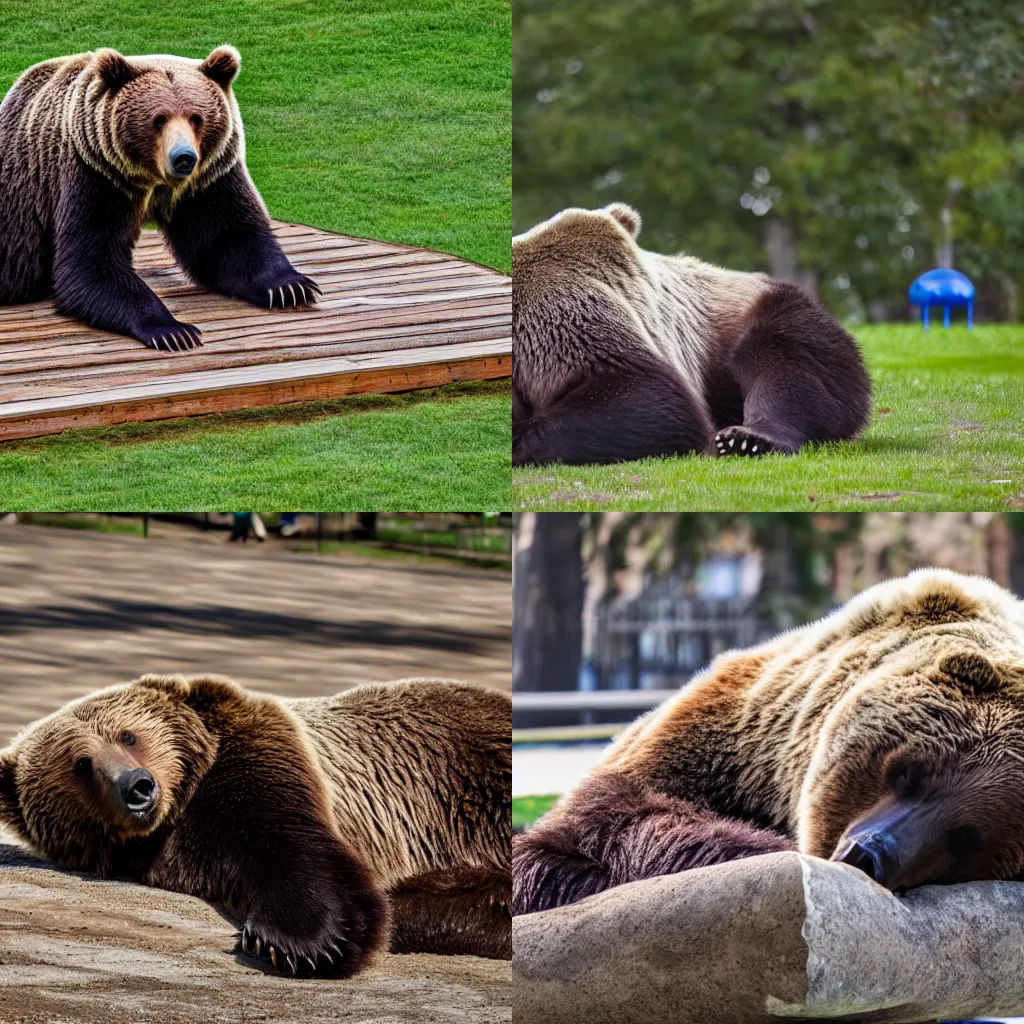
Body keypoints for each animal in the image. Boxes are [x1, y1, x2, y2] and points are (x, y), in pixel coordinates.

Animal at [0, 48, 317, 352]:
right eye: (159, 119)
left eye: (196, 117)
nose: (184, 157)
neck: (154, 181)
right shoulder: (95, 175)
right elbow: (92, 260)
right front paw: (173, 330)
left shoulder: (207, 180)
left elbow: (226, 238)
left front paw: (291, 286)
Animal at [0, 675, 512, 970]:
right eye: (81, 763)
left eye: (128, 735)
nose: (138, 787)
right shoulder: (184, 848)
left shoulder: (253, 757)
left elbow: (284, 840)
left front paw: (293, 939)